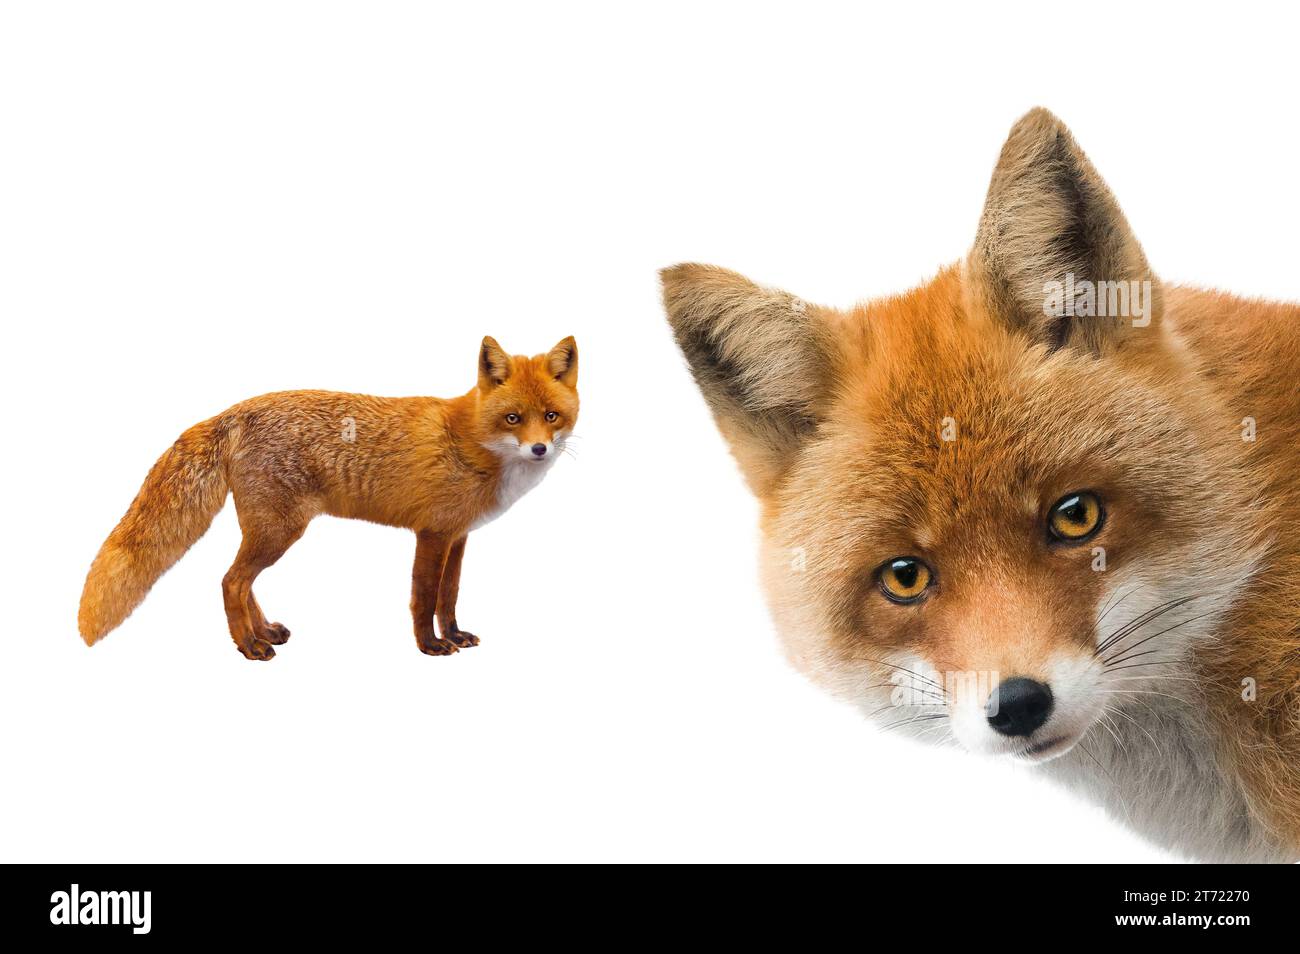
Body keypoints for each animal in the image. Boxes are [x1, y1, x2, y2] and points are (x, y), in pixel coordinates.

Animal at [77, 336, 578, 660]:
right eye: (513, 418)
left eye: (552, 416)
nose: (539, 449)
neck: (473, 441)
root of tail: (234, 410)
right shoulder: (432, 533)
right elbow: (423, 597)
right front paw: (430, 646)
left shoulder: (457, 537)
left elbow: (448, 596)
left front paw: (453, 636)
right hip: (279, 531)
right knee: (230, 582)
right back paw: (248, 646)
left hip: (269, 532)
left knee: (242, 582)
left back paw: (263, 632)